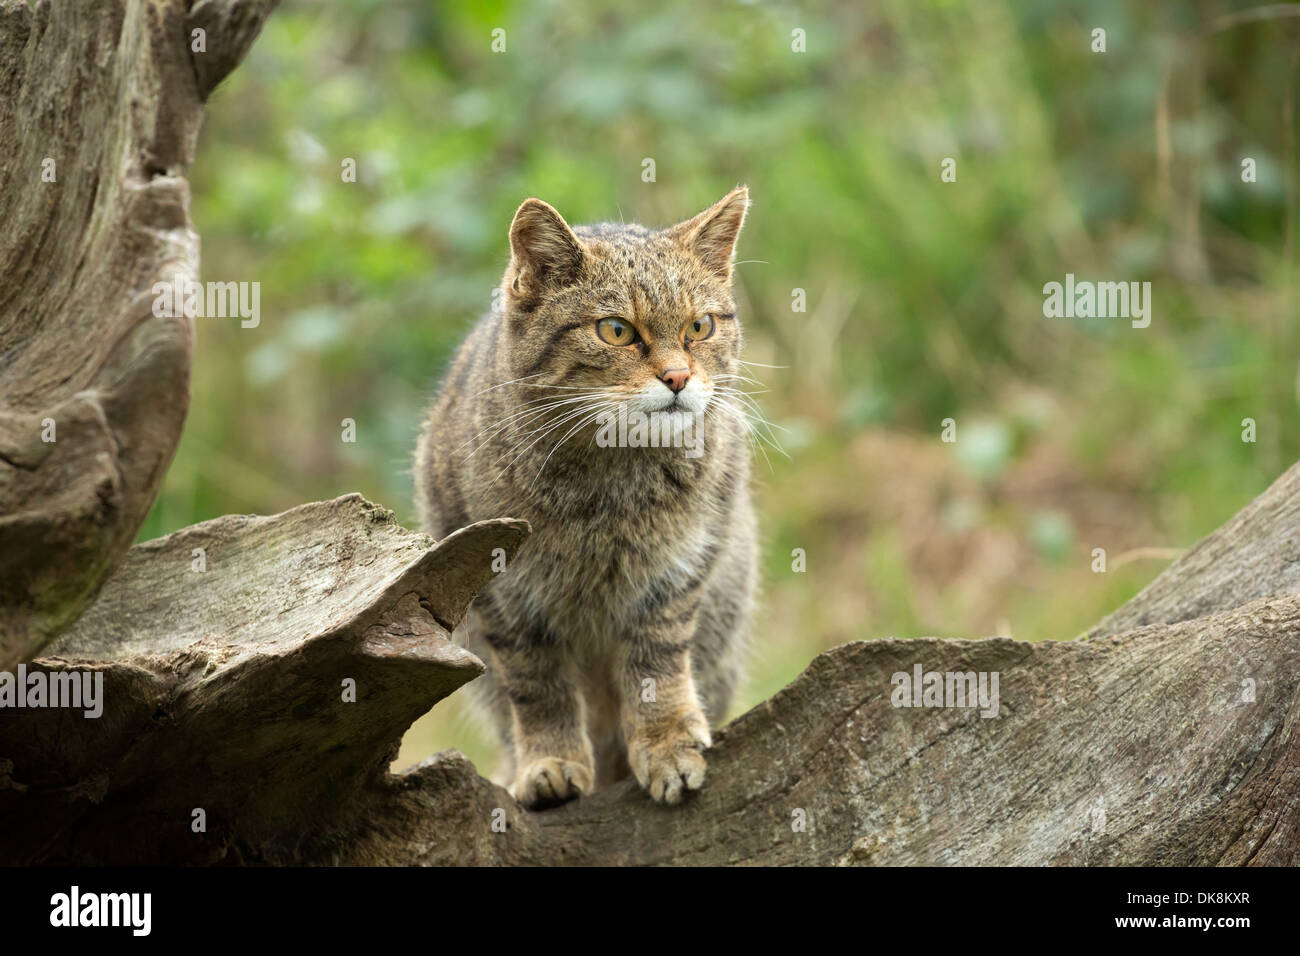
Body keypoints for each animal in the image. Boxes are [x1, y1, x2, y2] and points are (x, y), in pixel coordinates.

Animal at [416, 187, 759, 806]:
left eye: (699, 327)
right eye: (616, 331)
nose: (679, 378)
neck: (610, 485)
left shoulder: (678, 573)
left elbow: (656, 669)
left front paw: (667, 744)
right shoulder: (498, 589)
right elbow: (537, 686)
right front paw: (549, 761)